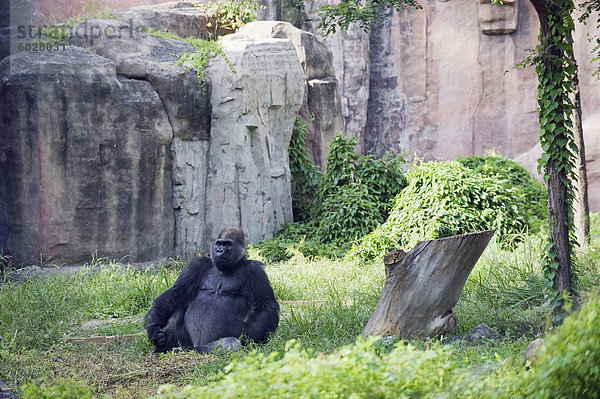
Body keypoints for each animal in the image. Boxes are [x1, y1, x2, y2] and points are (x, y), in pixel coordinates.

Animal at [144, 227, 280, 354]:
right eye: (219, 243)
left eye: (227, 244)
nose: (219, 250)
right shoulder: (196, 265)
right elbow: (174, 294)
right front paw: (153, 329)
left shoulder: (255, 271)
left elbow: (265, 306)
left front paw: (249, 341)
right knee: (178, 309)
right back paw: (164, 348)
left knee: (230, 343)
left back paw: (194, 350)